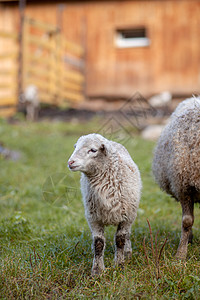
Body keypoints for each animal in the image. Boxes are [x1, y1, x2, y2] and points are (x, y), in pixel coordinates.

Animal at [68, 134, 141, 274]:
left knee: (127, 234)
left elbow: (120, 240)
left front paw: (119, 264)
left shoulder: (126, 216)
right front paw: (97, 270)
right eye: (75, 147)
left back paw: (127, 253)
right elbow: (98, 243)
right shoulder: (94, 218)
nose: (70, 162)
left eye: (93, 150)